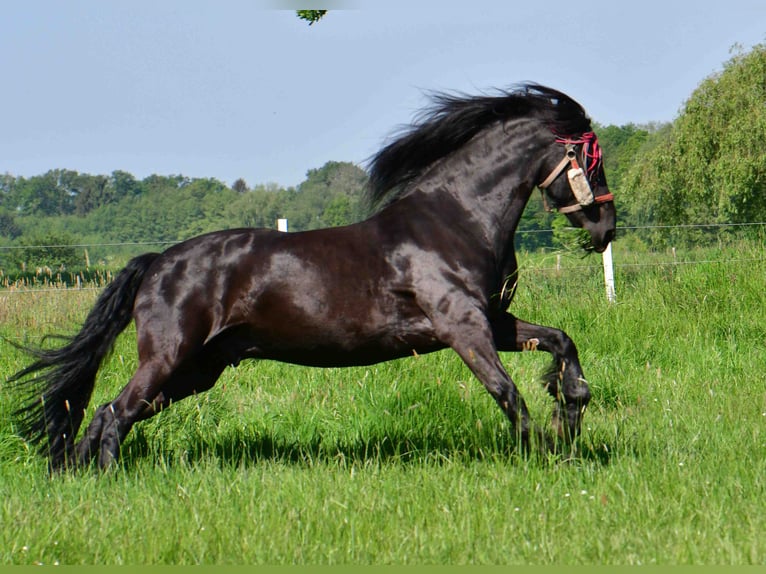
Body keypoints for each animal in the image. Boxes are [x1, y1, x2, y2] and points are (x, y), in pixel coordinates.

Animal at [9, 84, 616, 471]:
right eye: (592, 158)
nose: (604, 227)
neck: (455, 219)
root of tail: (158, 262)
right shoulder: (462, 327)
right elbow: (506, 392)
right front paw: (544, 452)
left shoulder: (493, 319)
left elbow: (561, 342)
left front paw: (572, 409)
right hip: (169, 357)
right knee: (115, 412)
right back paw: (103, 477)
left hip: (199, 370)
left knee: (105, 414)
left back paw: (75, 475)